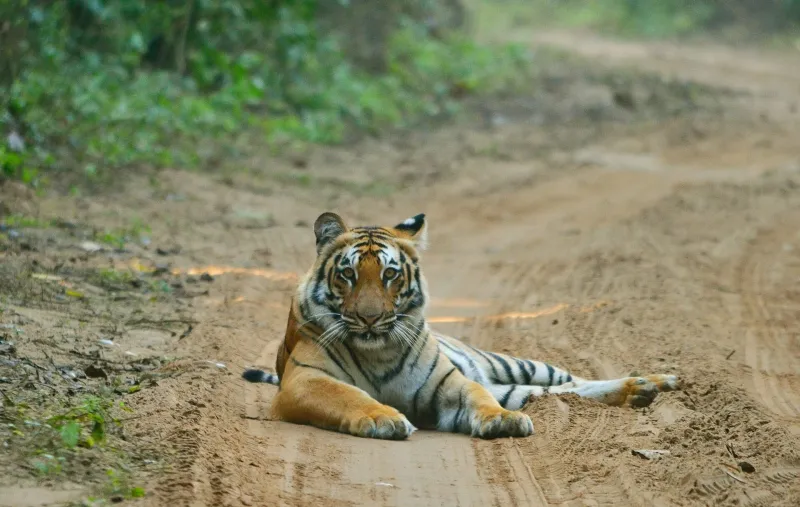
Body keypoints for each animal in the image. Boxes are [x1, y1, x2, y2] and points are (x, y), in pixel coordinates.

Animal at [242, 212, 679, 440]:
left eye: (389, 274)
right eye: (347, 274)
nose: (369, 318)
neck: (378, 349)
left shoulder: (450, 384)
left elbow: (478, 397)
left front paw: (502, 421)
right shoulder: (304, 381)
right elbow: (349, 396)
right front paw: (383, 418)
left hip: (514, 364)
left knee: (573, 379)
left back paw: (654, 383)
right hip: (519, 387)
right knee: (564, 391)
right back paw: (642, 391)